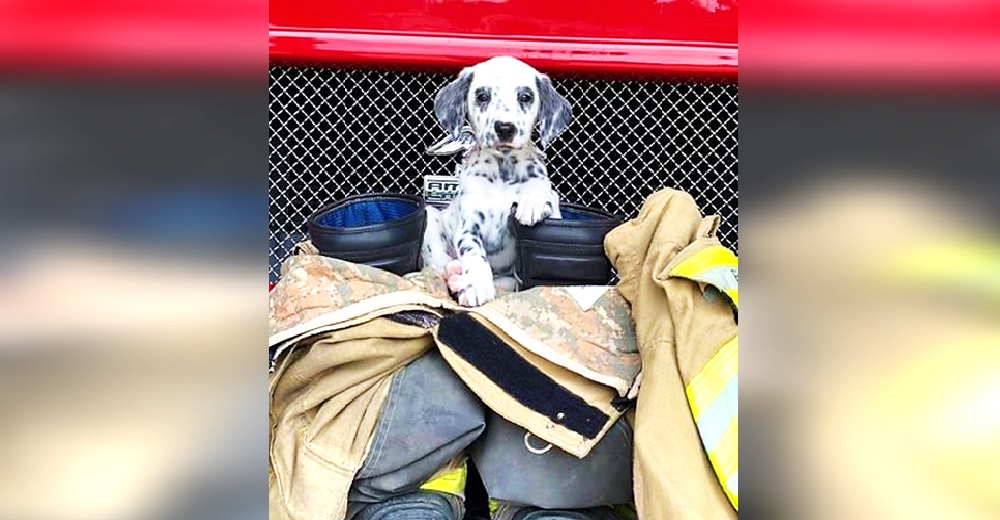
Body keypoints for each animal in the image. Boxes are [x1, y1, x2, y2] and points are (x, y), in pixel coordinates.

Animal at [422, 57, 576, 306]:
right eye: (482, 96)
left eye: (526, 96)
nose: (504, 127)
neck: (503, 172)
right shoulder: (469, 225)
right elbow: (474, 253)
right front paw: (476, 286)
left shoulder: (554, 217)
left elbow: (545, 193)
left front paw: (532, 200)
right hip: (432, 217)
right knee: (440, 263)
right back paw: (455, 275)